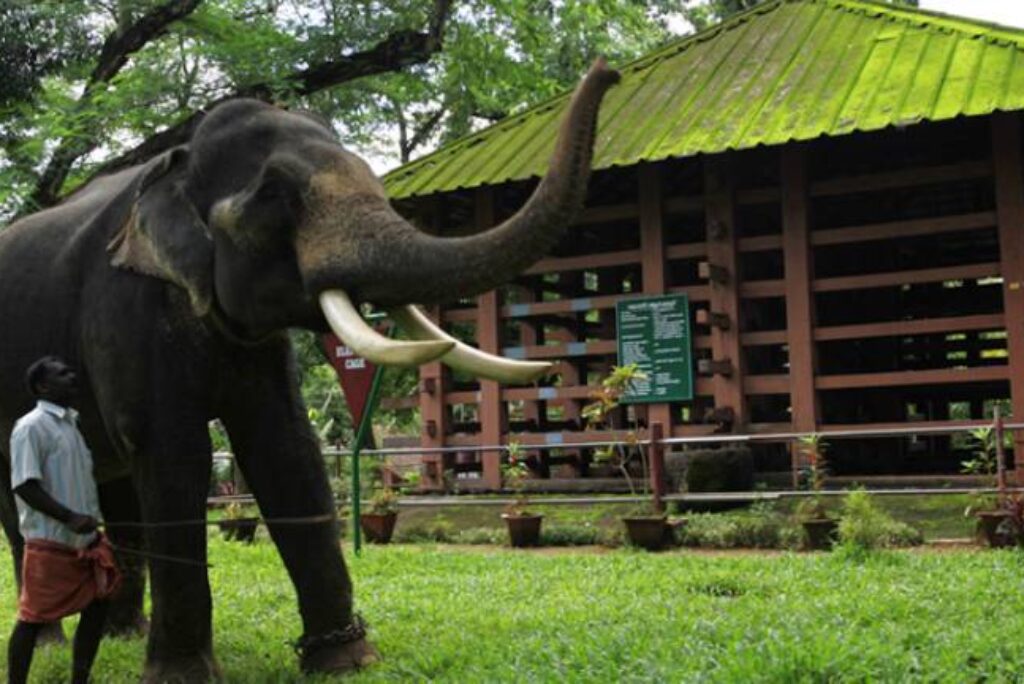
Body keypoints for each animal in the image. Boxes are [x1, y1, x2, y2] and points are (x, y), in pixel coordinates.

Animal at [0, 58, 614, 679]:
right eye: (275, 194)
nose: (605, 69)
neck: (179, 163)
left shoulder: (257, 347)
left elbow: (285, 448)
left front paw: (345, 659)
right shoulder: (125, 308)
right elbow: (172, 450)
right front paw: (182, 677)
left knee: (117, 481)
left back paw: (124, 632)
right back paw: (50, 640)